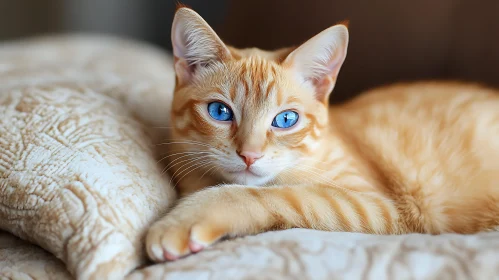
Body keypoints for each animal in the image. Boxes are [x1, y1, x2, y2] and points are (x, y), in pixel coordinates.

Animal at [146, 7, 499, 262]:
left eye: (286, 119)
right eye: (220, 112)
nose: (250, 155)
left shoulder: (381, 206)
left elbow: (268, 194)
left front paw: (184, 219)